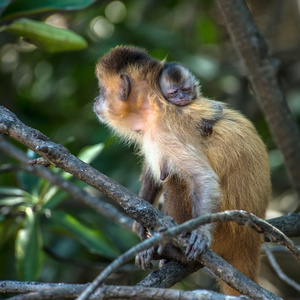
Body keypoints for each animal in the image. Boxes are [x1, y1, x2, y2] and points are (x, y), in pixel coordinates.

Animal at [93, 45, 270, 294]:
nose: (95, 99)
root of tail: (249, 241)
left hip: (226, 232)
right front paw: (141, 222)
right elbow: (155, 174)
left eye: (101, 90)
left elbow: (200, 177)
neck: (152, 101)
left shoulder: (163, 127)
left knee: (177, 179)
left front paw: (199, 234)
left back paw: (172, 251)